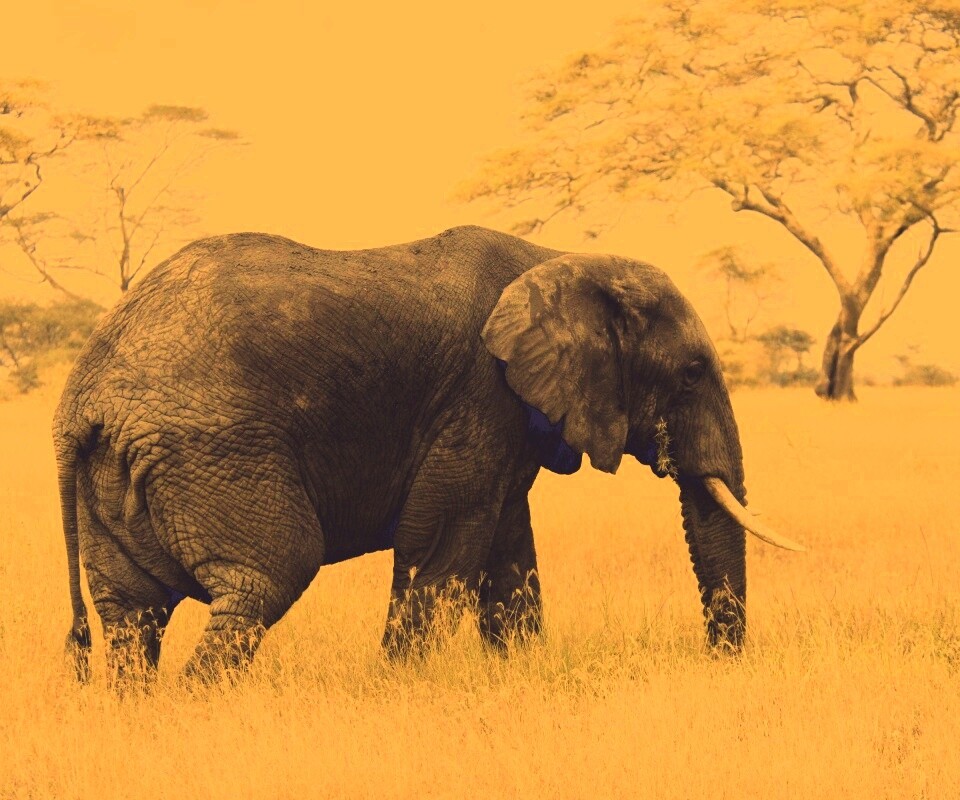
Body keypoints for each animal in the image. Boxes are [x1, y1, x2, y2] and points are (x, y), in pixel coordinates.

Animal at [54, 225, 803, 682]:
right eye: (692, 373)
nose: (719, 663)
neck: (558, 259)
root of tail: (80, 400)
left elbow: (507, 549)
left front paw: (518, 674)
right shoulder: (478, 393)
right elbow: (442, 539)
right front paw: (398, 686)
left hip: (121, 472)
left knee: (131, 615)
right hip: (213, 450)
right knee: (267, 575)